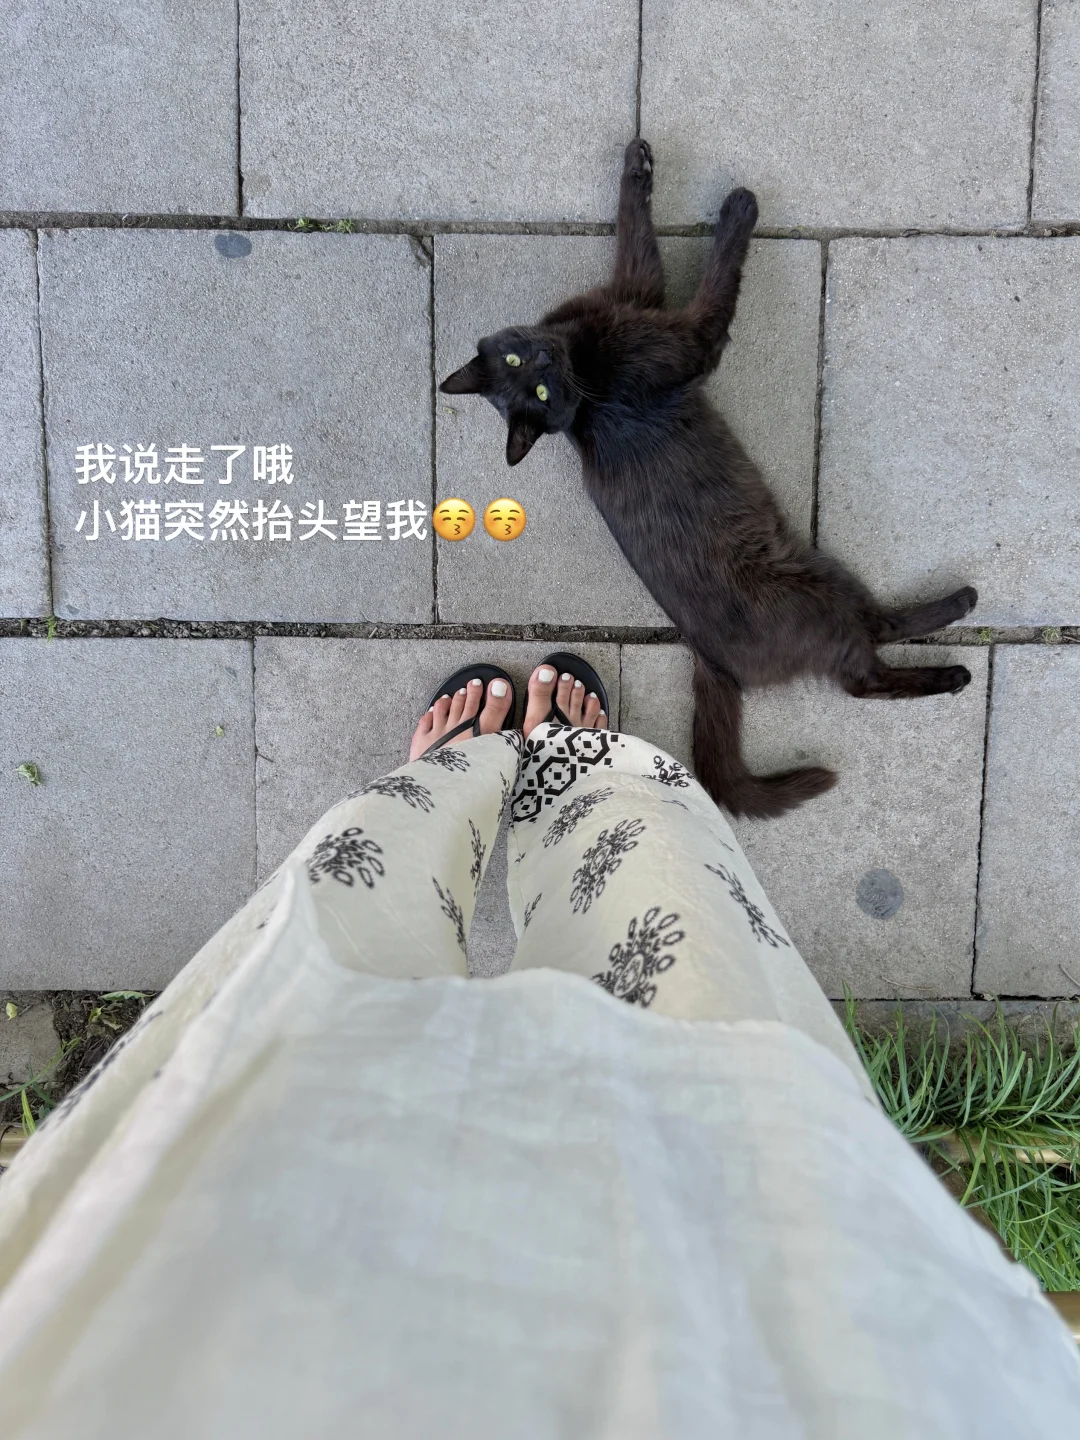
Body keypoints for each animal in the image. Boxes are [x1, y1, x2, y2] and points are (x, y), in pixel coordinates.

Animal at [440, 138, 977, 819]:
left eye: (521, 367)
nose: (540, 361)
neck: (586, 361)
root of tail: (706, 655)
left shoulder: (635, 291)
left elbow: (635, 233)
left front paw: (638, 164)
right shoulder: (691, 338)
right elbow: (718, 276)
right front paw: (738, 208)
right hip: (819, 590)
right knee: (865, 669)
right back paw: (956, 643)